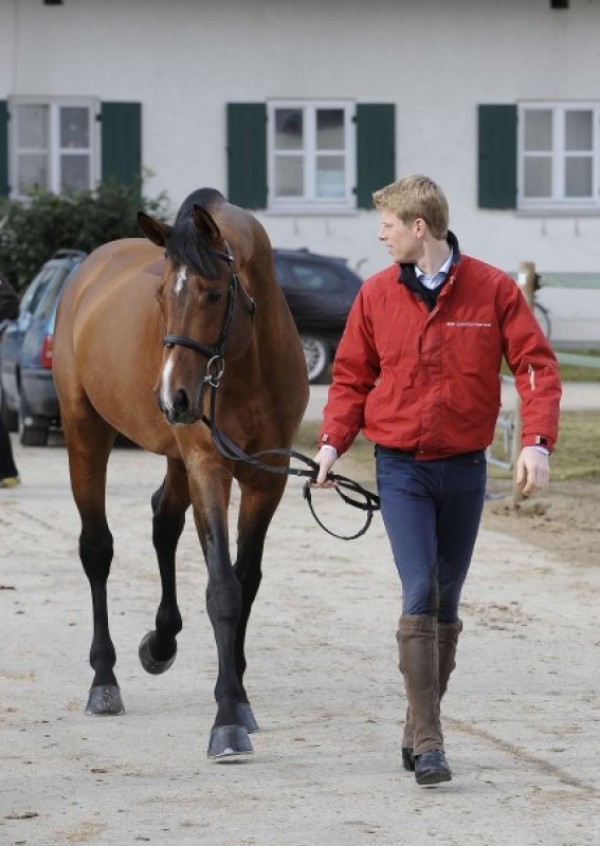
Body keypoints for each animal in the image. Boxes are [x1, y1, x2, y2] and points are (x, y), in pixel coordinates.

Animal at [51, 189, 310, 760]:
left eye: (213, 295)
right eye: (160, 298)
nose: (173, 396)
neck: (247, 361)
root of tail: (86, 271)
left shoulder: (269, 478)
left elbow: (245, 580)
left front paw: (236, 691)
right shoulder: (208, 467)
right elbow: (222, 589)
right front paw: (228, 720)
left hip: (174, 455)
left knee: (162, 521)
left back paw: (161, 641)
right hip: (86, 433)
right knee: (96, 548)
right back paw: (104, 680)